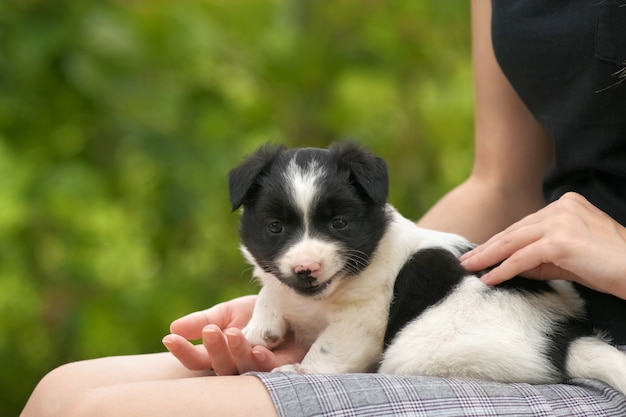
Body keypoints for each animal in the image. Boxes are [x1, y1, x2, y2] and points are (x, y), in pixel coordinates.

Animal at [227, 141, 624, 392]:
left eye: (339, 224)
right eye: (275, 228)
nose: (306, 268)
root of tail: (563, 338)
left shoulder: (361, 321)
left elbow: (328, 350)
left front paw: (301, 369)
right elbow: (270, 291)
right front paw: (259, 329)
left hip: (417, 352)